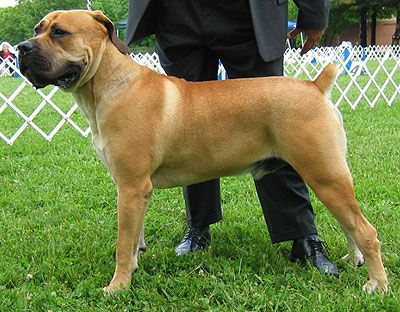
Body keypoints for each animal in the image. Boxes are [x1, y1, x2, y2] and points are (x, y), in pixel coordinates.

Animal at [17, 9, 390, 292]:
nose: (21, 48)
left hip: (324, 174)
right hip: (327, 176)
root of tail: (316, 86)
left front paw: (117, 287)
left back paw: (377, 284)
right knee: (349, 224)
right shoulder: (135, 191)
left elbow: (123, 243)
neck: (109, 84)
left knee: (366, 231)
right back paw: (353, 260)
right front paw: (132, 271)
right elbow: (134, 239)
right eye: (37, 29)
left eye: (60, 32)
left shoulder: (131, 187)